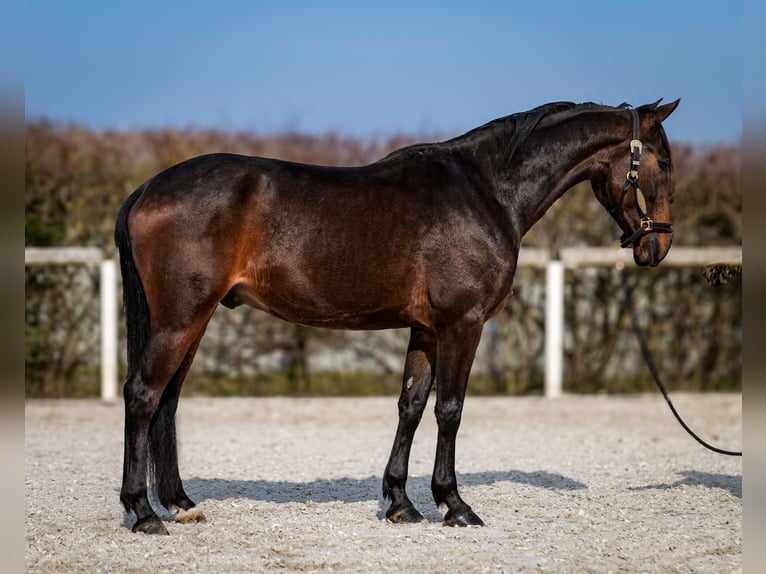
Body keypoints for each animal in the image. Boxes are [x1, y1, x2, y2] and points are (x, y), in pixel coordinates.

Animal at [112, 99, 680, 536]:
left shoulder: (426, 329)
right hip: (181, 318)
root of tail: (146, 189)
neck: (488, 190)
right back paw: (143, 513)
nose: (657, 246)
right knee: (143, 394)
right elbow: (449, 409)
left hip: (193, 320)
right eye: (663, 162)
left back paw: (180, 504)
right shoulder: (462, 323)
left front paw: (401, 504)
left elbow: (411, 405)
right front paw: (455, 505)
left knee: (167, 400)